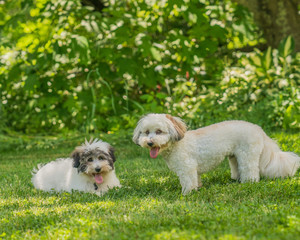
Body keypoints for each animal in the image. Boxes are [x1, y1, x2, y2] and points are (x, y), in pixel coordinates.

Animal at [133, 113, 300, 194]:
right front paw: (198, 187)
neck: (177, 144)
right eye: (146, 132)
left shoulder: (187, 168)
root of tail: (258, 129)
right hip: (235, 157)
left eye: (159, 131)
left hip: (247, 155)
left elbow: (188, 182)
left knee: (251, 171)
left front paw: (187, 193)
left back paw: (248, 182)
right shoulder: (194, 169)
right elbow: (196, 179)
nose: (149, 142)